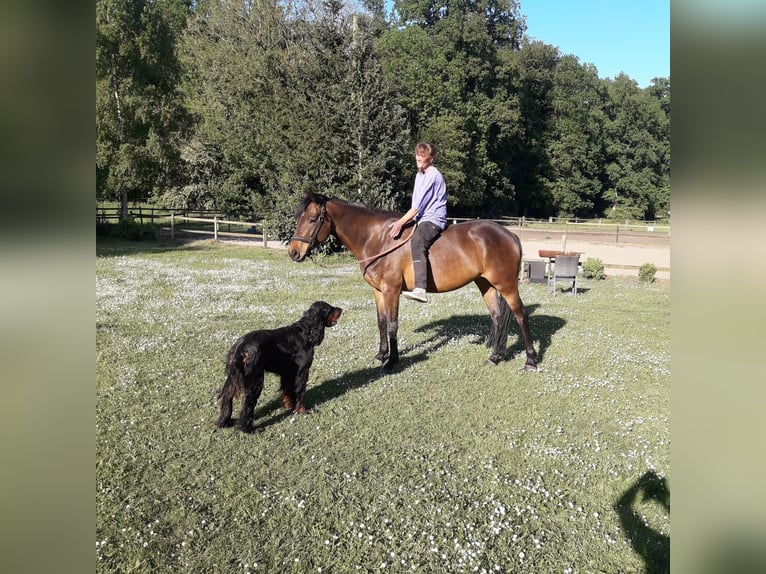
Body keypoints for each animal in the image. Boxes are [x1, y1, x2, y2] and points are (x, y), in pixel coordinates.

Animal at [288, 192, 537, 374]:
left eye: (313, 219)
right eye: (298, 218)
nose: (293, 252)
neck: (378, 239)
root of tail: (509, 234)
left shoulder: (391, 291)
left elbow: (392, 325)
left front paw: (392, 361)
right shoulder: (378, 291)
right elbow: (381, 323)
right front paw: (380, 355)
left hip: (506, 286)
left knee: (521, 316)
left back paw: (530, 361)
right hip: (485, 284)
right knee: (497, 316)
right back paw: (494, 356)